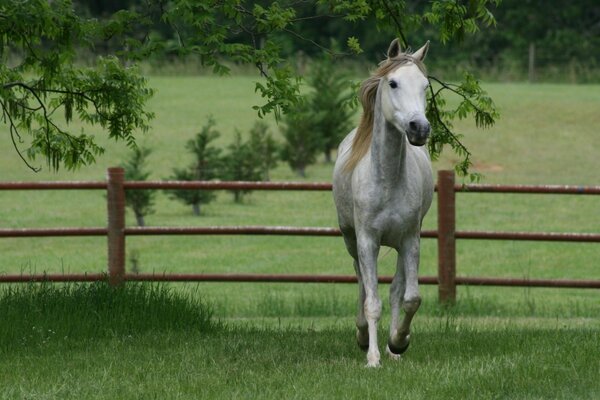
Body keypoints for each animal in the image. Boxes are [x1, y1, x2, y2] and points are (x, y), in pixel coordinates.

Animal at [330, 39, 434, 368]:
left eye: (425, 86)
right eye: (393, 83)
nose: (419, 128)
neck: (387, 180)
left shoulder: (410, 240)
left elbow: (409, 297)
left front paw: (398, 342)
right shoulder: (367, 241)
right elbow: (372, 301)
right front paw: (372, 358)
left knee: (396, 290)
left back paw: (392, 349)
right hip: (351, 241)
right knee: (362, 284)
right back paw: (364, 336)